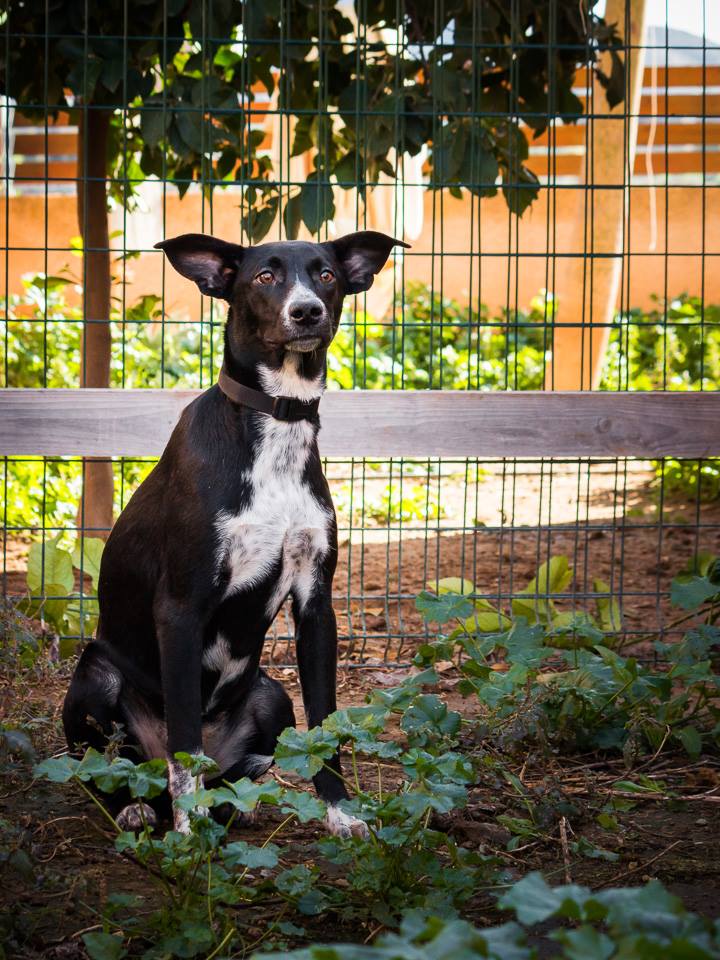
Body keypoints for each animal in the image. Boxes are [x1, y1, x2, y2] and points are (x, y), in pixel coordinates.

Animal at [62, 230, 408, 837]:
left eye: (326, 275)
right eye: (264, 277)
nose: (306, 311)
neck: (278, 421)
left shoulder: (317, 605)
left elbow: (326, 728)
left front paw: (340, 813)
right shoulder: (180, 609)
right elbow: (183, 745)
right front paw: (187, 835)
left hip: (270, 694)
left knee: (231, 771)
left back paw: (231, 807)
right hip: (97, 677)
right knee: (115, 768)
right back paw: (138, 807)